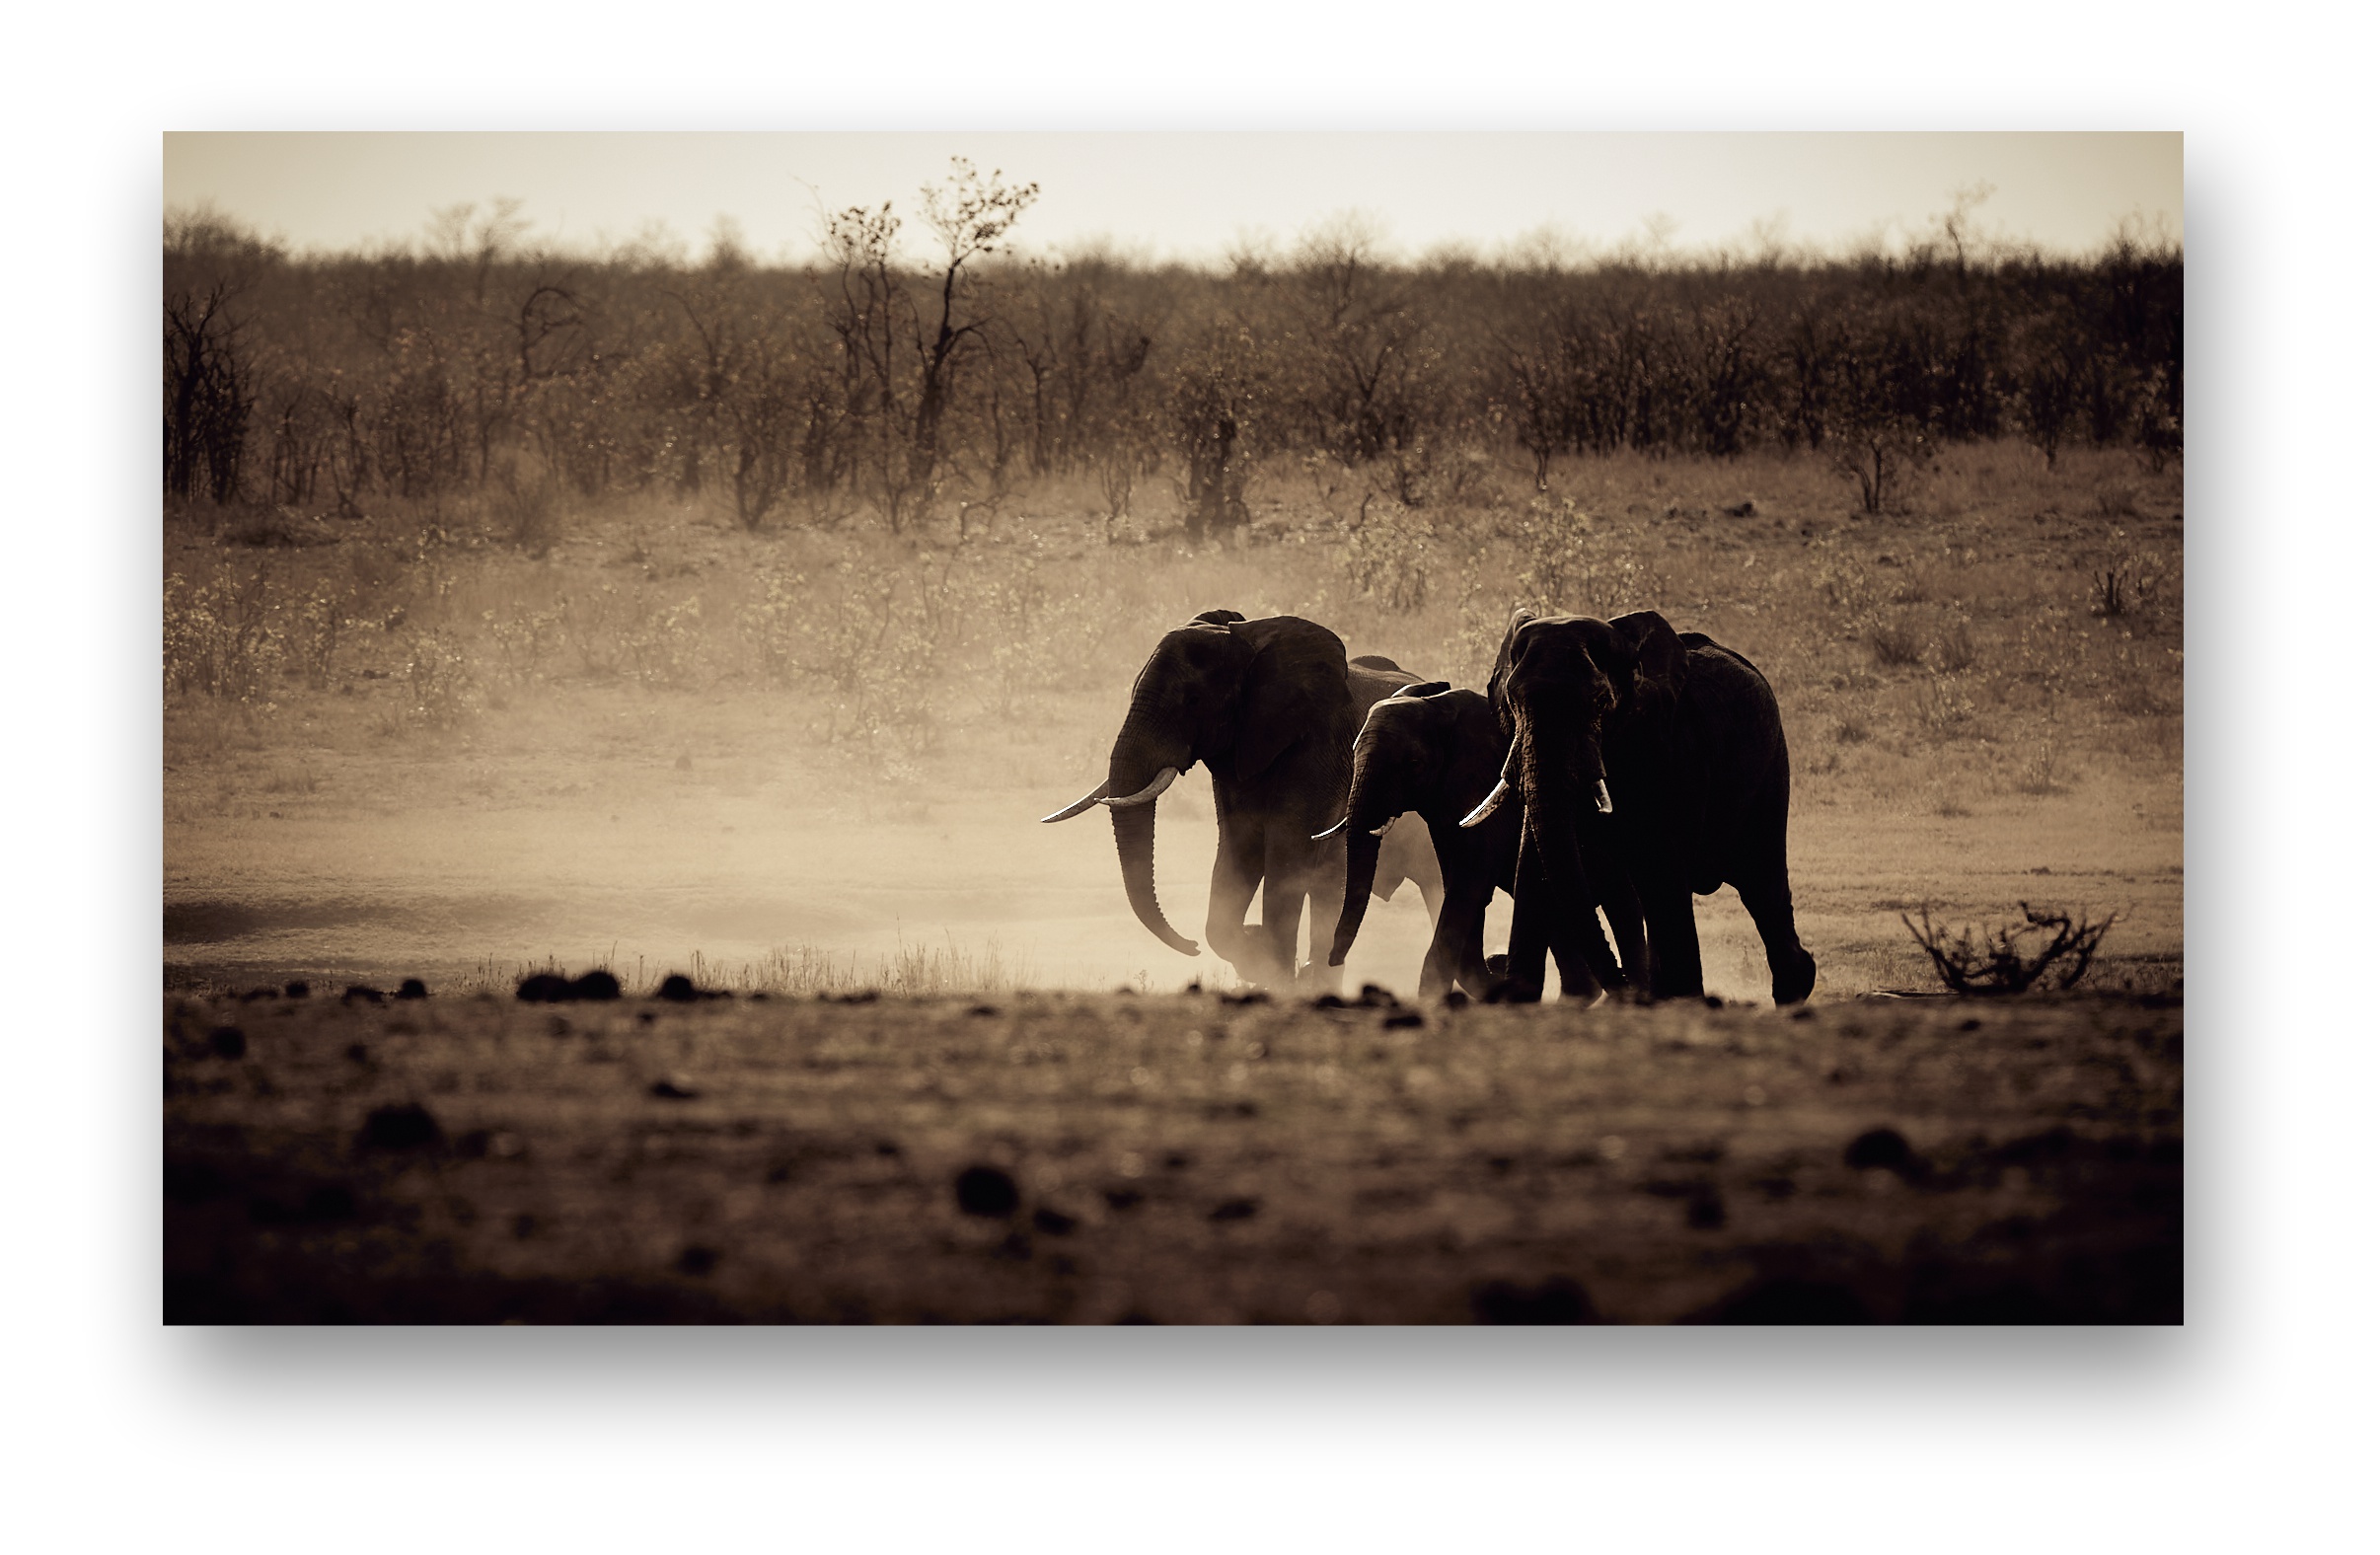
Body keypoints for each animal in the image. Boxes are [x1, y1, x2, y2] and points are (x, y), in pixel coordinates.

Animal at [1042, 611, 1440, 989]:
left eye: (1193, 700)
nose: (1190, 947)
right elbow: (1238, 852)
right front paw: (1259, 955)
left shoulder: (1319, 753)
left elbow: (1288, 855)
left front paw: (1277, 972)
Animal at [1317, 680, 1637, 1002]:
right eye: (1354, 751)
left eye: (1413, 763)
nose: (1333, 960)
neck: (1440, 707)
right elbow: (1463, 887)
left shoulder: (1485, 788)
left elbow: (1468, 885)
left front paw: (1433, 999)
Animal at [1465, 608, 1816, 1006]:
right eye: (1512, 703)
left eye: (1601, 703)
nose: (1494, 962)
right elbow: (1532, 867)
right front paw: (1518, 1000)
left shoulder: (1674, 749)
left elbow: (1661, 867)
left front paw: (1682, 1002)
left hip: (1770, 767)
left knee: (1760, 881)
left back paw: (1792, 989)